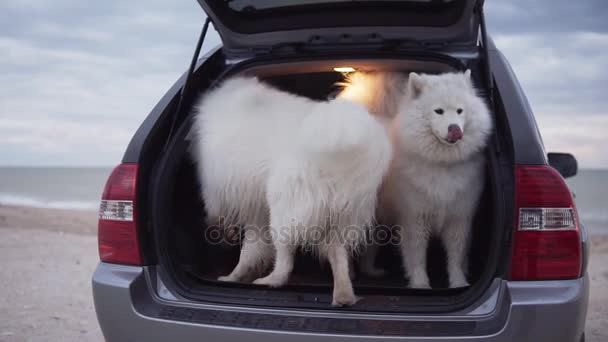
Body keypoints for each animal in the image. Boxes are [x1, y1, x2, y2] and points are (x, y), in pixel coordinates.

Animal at [192, 77, 392, 304]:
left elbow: (242, 243)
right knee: (337, 253)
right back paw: (344, 294)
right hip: (342, 217)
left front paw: (234, 275)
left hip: (285, 211)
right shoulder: (256, 210)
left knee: (285, 260)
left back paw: (270, 280)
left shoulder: (222, 192)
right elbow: (252, 248)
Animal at [340, 70, 492, 288]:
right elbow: (417, 257)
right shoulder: (414, 218)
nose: (455, 129)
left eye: (460, 111)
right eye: (438, 111)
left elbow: (456, 256)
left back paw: (371, 271)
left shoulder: (459, 218)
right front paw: (420, 284)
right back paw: (350, 274)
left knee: (369, 246)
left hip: (377, 218)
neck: (442, 164)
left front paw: (459, 283)